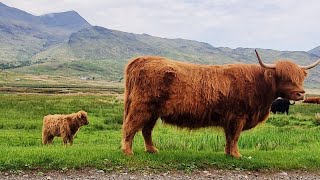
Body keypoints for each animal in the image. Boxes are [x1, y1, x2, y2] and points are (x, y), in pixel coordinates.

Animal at [120, 50, 320, 158]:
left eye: (300, 77)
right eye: (284, 77)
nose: (301, 93)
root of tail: (140, 59)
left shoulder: (230, 119)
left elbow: (229, 137)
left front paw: (228, 153)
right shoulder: (238, 117)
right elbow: (235, 137)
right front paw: (237, 155)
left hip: (153, 112)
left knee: (146, 130)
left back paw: (152, 150)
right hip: (141, 107)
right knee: (130, 127)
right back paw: (128, 151)